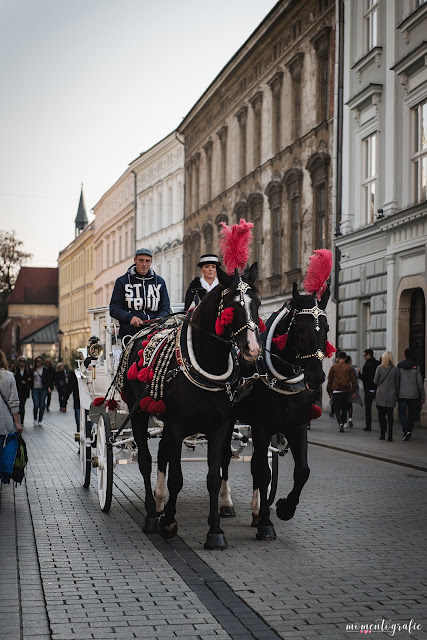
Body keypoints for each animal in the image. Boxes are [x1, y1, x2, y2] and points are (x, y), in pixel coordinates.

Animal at [123, 262, 262, 548]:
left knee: (163, 454)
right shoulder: (177, 426)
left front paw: (215, 532)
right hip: (138, 412)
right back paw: (152, 514)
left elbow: (214, 476)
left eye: (257, 303)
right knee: (145, 459)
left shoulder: (220, 427)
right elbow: (177, 477)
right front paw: (168, 523)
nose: (252, 350)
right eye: (231, 306)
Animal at [227, 282, 332, 536]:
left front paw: (285, 508)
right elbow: (263, 472)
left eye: (326, 328)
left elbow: (302, 470)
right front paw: (266, 523)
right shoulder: (262, 426)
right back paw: (226, 503)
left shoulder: (297, 426)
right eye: (300, 328)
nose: (317, 376)